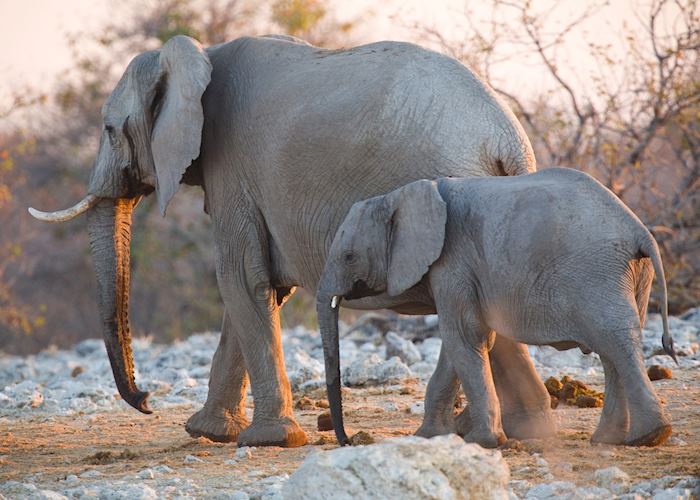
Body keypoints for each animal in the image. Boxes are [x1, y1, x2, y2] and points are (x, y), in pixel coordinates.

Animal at [29, 34, 554, 447]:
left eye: (109, 129)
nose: (146, 400)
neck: (196, 55)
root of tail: (508, 141)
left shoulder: (232, 165)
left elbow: (240, 279)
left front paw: (264, 439)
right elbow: (261, 288)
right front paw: (208, 432)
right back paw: (514, 430)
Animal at [316, 168, 676, 448]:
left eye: (349, 256)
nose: (346, 440)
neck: (401, 195)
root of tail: (640, 231)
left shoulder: (451, 260)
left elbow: (464, 336)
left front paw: (482, 442)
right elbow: (461, 342)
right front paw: (429, 437)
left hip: (596, 272)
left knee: (614, 340)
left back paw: (647, 437)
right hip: (629, 276)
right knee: (616, 345)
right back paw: (615, 439)